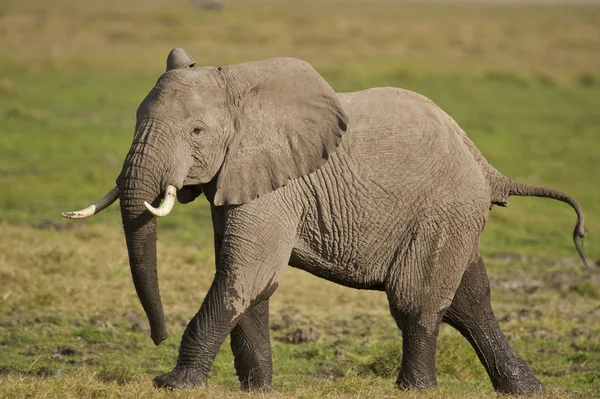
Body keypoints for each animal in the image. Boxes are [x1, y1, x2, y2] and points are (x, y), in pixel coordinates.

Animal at [63, 48, 588, 396]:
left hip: (443, 210)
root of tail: (485, 164)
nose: (157, 335)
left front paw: (173, 384)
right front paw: (258, 389)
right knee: (470, 301)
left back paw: (414, 389)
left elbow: (244, 272)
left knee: (416, 301)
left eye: (196, 131)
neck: (240, 85)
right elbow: (251, 280)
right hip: (455, 214)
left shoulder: (278, 184)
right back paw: (527, 390)